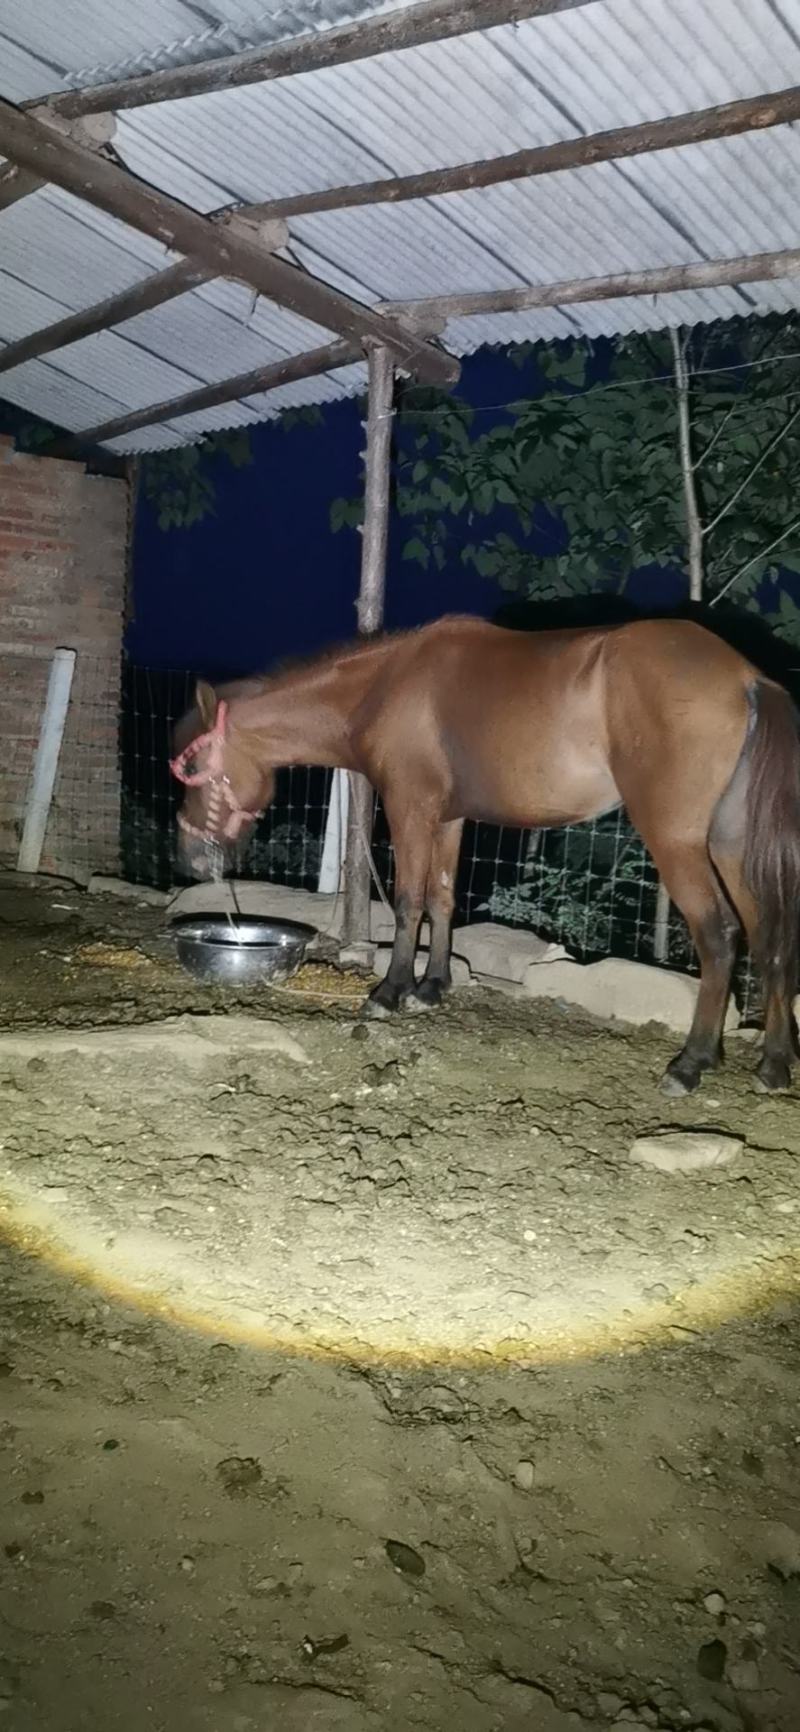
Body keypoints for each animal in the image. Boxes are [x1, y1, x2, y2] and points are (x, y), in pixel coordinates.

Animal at [170, 614, 800, 1096]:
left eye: (193, 767)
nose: (192, 859)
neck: (384, 686)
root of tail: (747, 678)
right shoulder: (449, 818)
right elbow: (443, 898)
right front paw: (432, 986)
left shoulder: (410, 807)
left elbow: (408, 901)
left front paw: (389, 993)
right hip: (732, 846)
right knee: (769, 938)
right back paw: (774, 1063)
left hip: (678, 841)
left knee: (719, 935)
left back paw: (691, 1063)